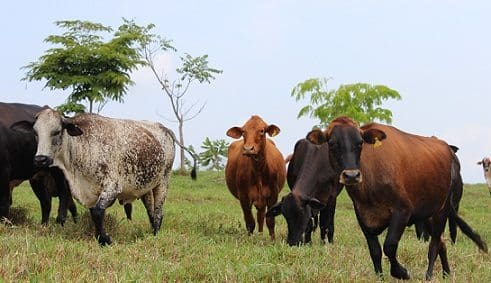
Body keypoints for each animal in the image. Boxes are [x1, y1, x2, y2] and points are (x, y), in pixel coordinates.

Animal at [11, 108, 192, 246]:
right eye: (35, 133)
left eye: (57, 131)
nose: (40, 159)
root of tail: (164, 128)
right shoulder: (90, 192)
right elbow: (94, 214)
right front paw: (100, 237)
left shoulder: (112, 187)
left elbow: (98, 213)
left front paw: (105, 240)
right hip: (145, 186)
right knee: (150, 211)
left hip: (163, 181)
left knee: (158, 211)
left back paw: (156, 233)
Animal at [308, 117, 488, 282]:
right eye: (332, 143)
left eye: (360, 143)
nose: (351, 175)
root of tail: (447, 148)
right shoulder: (363, 216)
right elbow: (375, 251)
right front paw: (380, 277)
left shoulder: (402, 211)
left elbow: (389, 246)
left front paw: (402, 272)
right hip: (428, 214)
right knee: (442, 245)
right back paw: (446, 274)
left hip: (441, 211)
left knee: (434, 245)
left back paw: (429, 276)